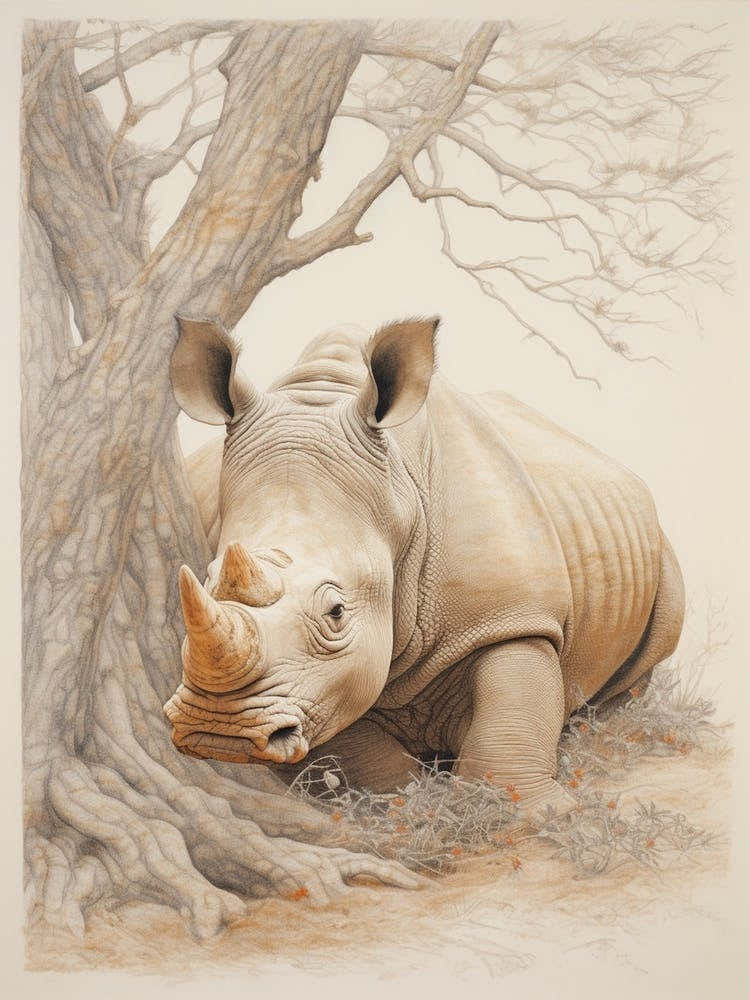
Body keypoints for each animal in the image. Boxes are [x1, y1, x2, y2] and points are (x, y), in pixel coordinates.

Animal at [164, 316, 685, 816]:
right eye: (207, 582)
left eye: (336, 612)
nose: (219, 730)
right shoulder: (314, 686)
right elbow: (355, 741)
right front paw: (408, 804)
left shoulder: (514, 613)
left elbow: (510, 714)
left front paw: (531, 814)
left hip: (653, 541)